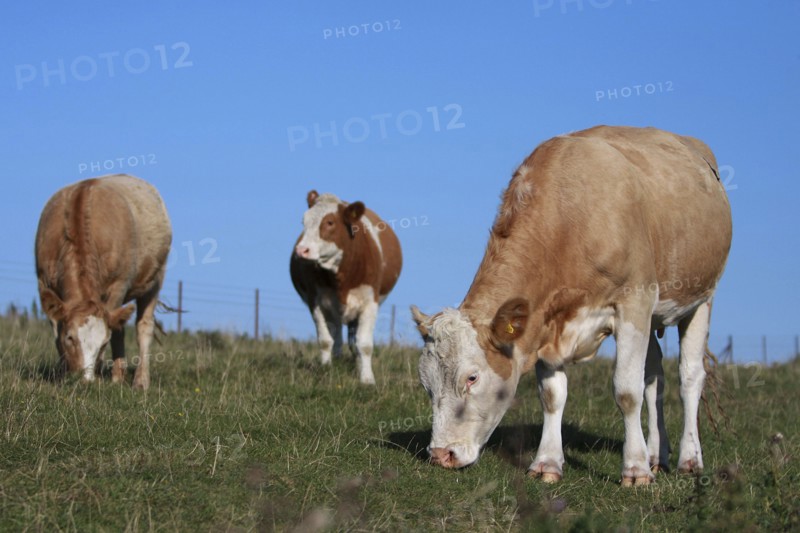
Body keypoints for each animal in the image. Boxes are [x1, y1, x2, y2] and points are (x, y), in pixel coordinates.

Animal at [35, 174, 172, 390]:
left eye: (103, 343)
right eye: (70, 337)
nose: (85, 380)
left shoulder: (119, 285)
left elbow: (116, 331)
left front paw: (112, 375)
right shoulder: (44, 284)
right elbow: (56, 330)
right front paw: (62, 373)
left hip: (155, 279)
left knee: (143, 326)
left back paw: (139, 380)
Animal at [290, 190, 402, 385]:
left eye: (329, 222)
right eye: (304, 221)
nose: (301, 250)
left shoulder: (370, 302)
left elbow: (364, 344)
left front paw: (367, 379)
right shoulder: (316, 302)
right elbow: (325, 340)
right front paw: (326, 369)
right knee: (336, 337)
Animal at [411, 125, 732, 486]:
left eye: (472, 378)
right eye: (426, 384)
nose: (441, 455)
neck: (570, 219)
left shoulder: (633, 302)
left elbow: (627, 391)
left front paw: (635, 470)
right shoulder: (544, 320)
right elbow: (552, 396)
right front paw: (547, 463)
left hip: (701, 297)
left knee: (689, 378)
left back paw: (688, 459)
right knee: (654, 379)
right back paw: (656, 456)